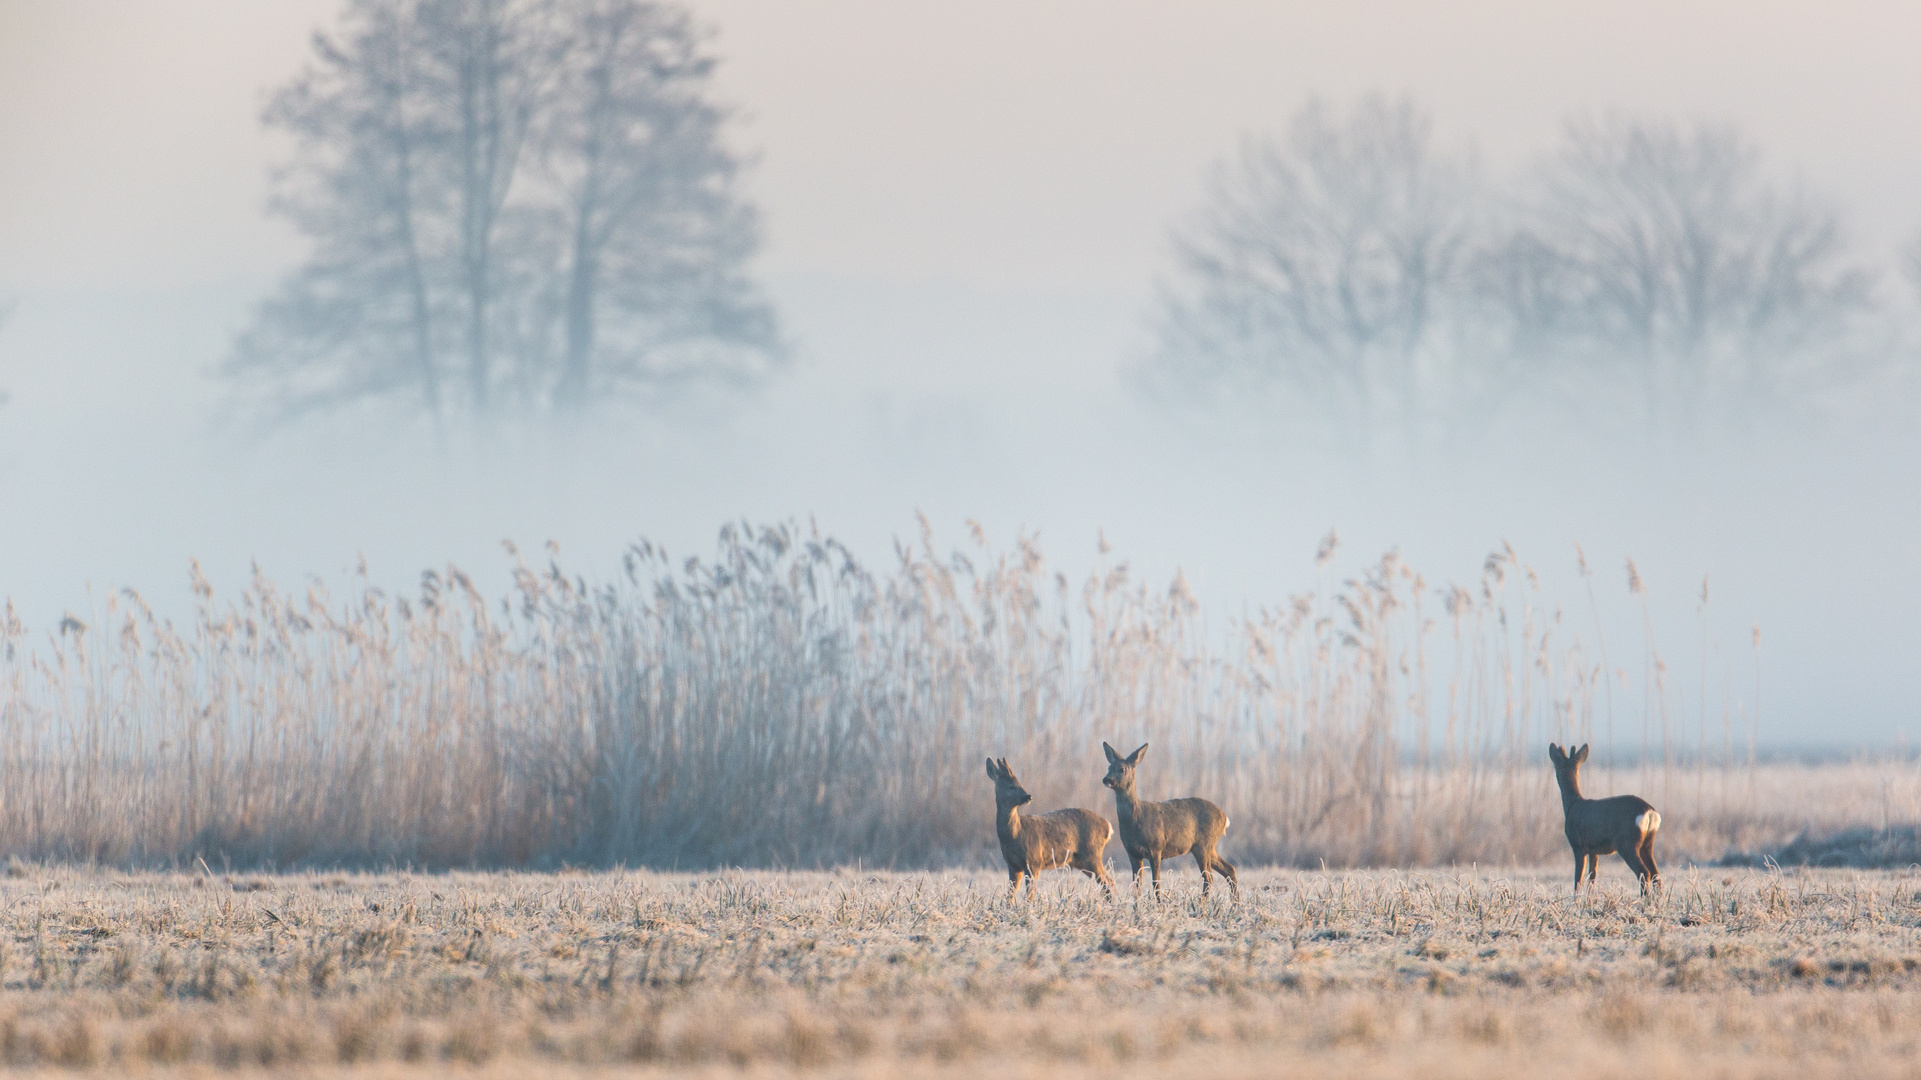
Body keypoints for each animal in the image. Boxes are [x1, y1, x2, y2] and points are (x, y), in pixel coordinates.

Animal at [983, 753, 1121, 895]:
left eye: (1020, 784)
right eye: (1011, 786)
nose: (1028, 796)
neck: (1015, 834)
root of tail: (1108, 826)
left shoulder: (1034, 861)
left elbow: (1030, 894)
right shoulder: (1013, 865)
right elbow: (1010, 895)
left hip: (1092, 853)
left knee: (1109, 881)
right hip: (1080, 861)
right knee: (1107, 882)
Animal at [1106, 737, 1237, 899]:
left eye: (1122, 769)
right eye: (1109, 767)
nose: (1107, 779)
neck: (1135, 820)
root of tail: (1225, 818)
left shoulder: (1156, 847)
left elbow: (1156, 883)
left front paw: (1159, 904)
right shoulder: (1132, 852)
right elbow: (1136, 885)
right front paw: (1137, 905)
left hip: (1204, 844)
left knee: (1209, 877)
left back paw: (1202, 903)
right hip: (1207, 846)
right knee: (1229, 869)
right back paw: (1235, 902)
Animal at [1544, 737, 1667, 891]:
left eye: (1556, 770)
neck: (1572, 804)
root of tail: (1650, 812)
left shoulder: (1578, 845)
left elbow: (1578, 880)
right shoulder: (1594, 850)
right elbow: (1592, 878)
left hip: (1627, 842)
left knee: (1644, 872)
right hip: (1648, 842)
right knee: (1656, 874)